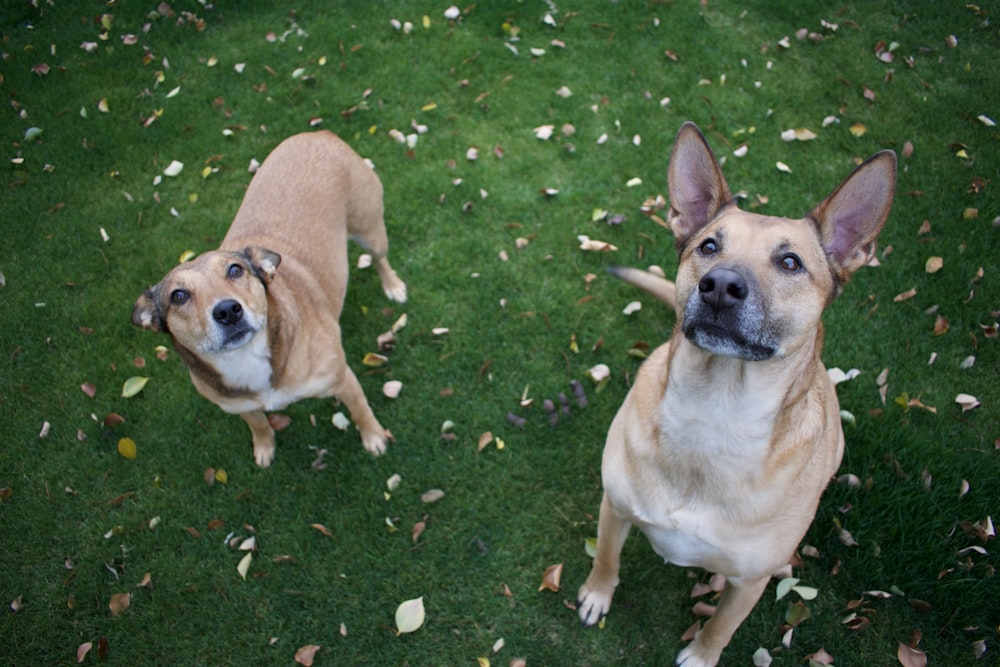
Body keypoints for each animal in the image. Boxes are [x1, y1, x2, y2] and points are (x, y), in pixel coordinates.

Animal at [133, 129, 406, 464]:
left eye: (235, 270)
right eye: (178, 295)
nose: (228, 311)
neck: (247, 357)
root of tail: (318, 133)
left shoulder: (343, 379)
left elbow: (361, 411)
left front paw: (374, 437)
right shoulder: (240, 407)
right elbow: (259, 425)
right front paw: (264, 448)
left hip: (369, 230)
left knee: (380, 259)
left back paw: (393, 285)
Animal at [576, 122, 896, 664]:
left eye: (790, 262)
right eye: (708, 246)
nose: (720, 285)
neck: (713, 413)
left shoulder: (749, 582)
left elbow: (722, 625)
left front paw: (702, 655)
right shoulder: (613, 508)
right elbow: (605, 557)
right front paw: (597, 594)